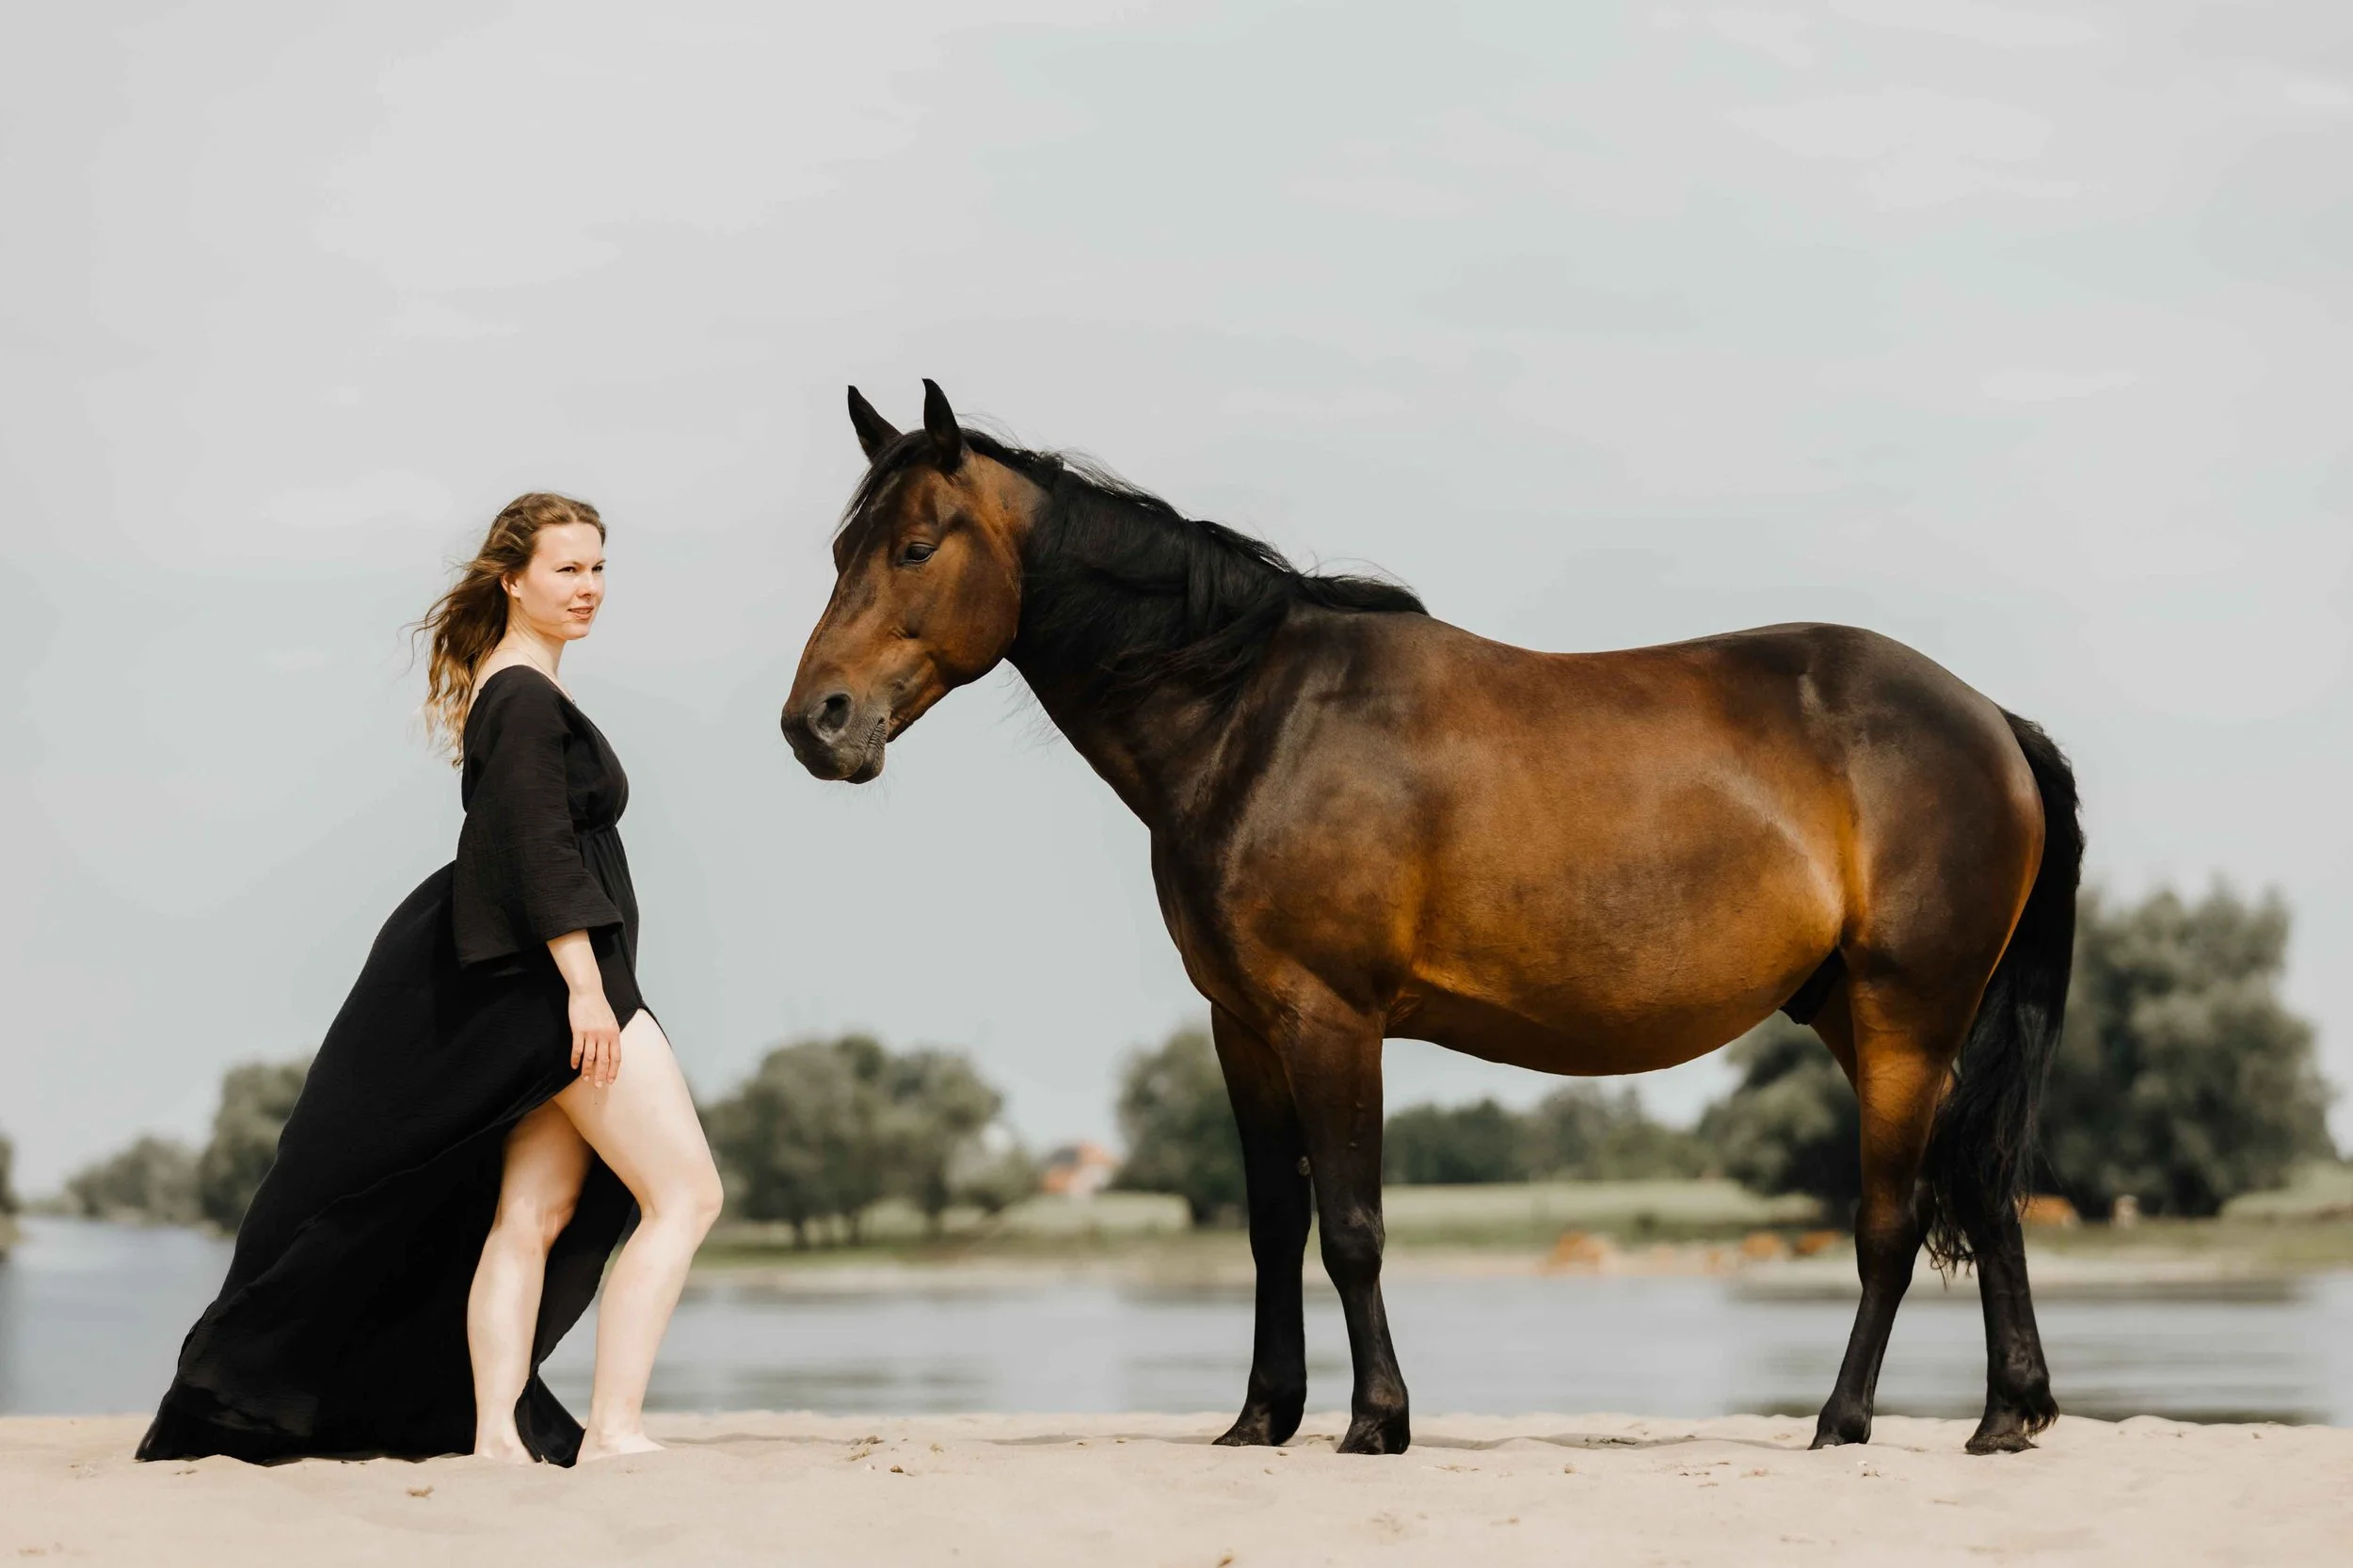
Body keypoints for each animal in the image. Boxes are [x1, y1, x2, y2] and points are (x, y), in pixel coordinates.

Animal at [781, 380, 2081, 1458]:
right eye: (841, 546)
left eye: (914, 545)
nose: (817, 721)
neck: (1252, 716)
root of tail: (1989, 718)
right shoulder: (1242, 1027)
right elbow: (1272, 1225)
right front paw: (1261, 1417)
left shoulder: (1329, 1017)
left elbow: (1350, 1226)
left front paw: (1374, 1421)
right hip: (1868, 1019)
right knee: (1983, 1189)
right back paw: (2005, 1416)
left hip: (1903, 1015)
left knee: (1893, 1219)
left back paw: (1842, 1419)